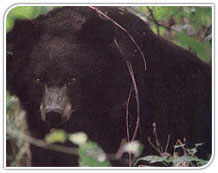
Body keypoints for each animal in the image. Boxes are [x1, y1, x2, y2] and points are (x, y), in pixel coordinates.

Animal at [6, 6, 211, 166]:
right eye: (38, 79)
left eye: (72, 78)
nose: (53, 113)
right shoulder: (39, 120)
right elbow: (51, 153)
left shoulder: (141, 112)